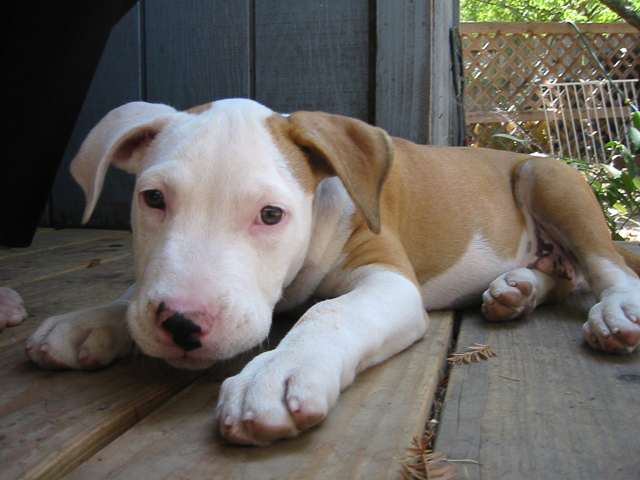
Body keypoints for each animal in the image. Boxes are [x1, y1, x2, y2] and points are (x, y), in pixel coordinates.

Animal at [25, 98, 640, 445]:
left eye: (271, 215)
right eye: (153, 199)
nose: (180, 323)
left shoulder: (388, 279)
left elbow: (330, 313)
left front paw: (279, 373)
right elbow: (131, 291)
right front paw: (89, 322)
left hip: (549, 179)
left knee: (603, 264)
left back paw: (615, 309)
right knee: (562, 273)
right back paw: (517, 289)